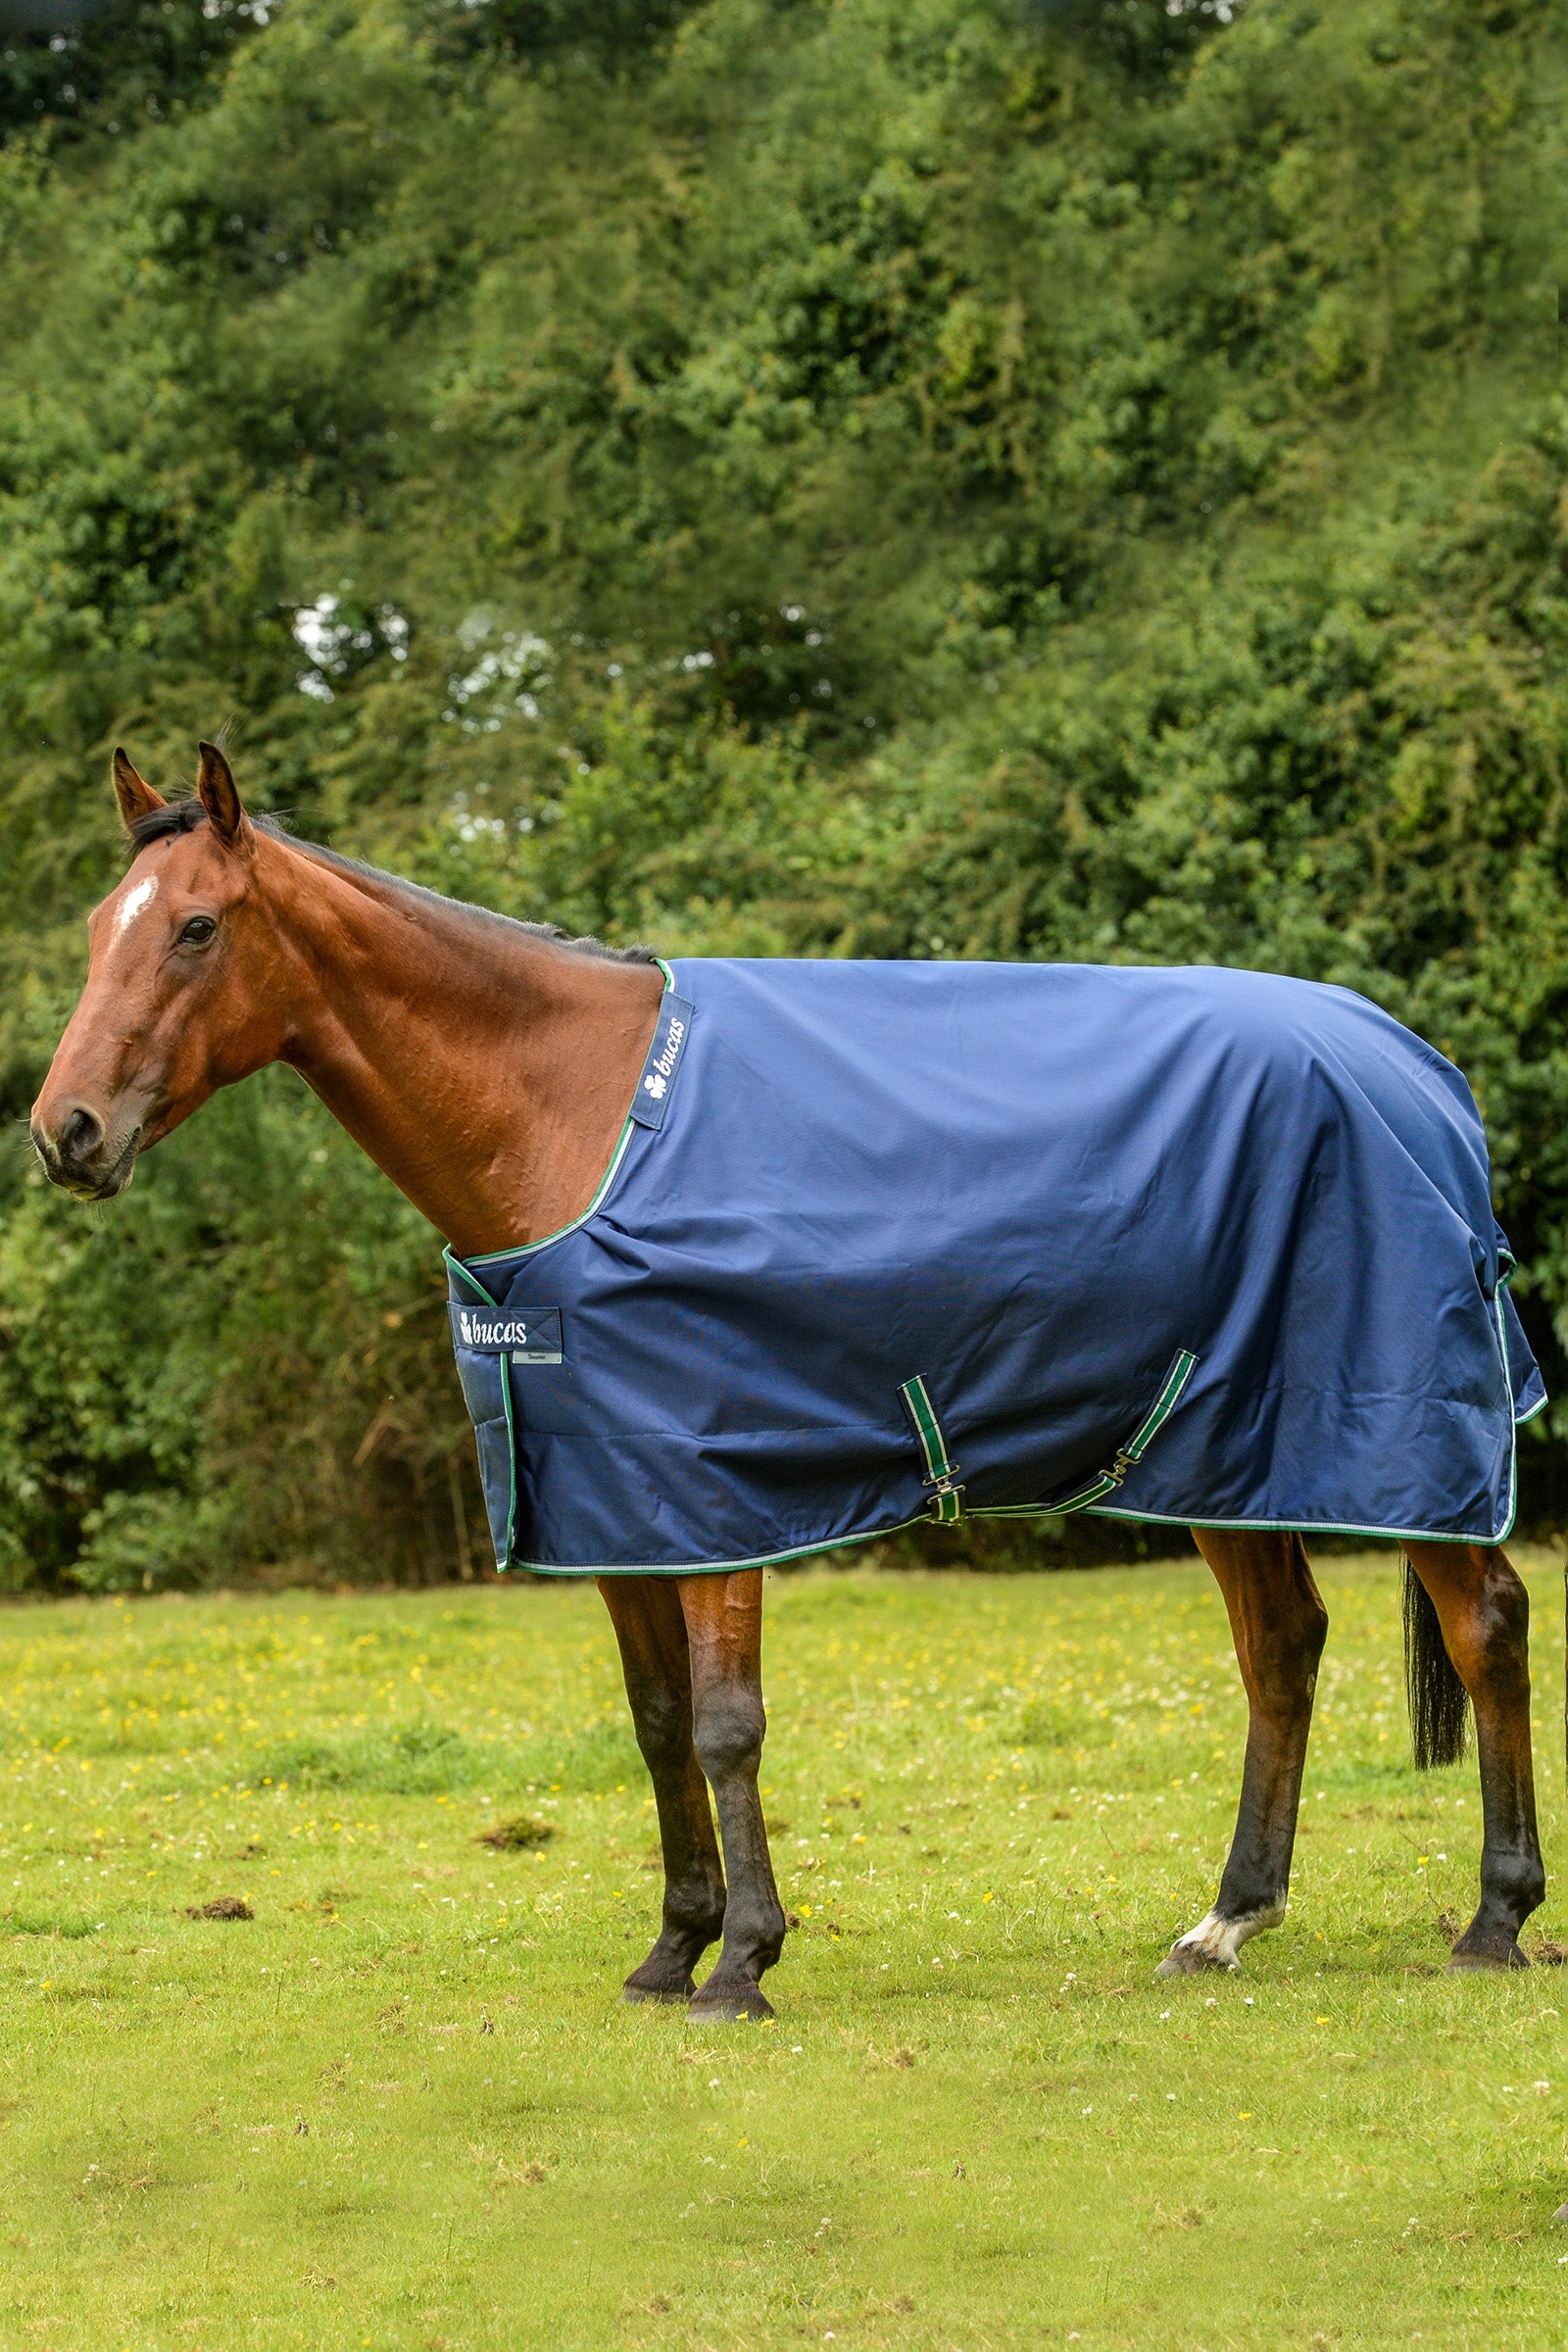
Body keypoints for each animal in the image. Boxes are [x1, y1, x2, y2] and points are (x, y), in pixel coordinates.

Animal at [29, 742, 1546, 2018]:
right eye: (100, 927)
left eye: (197, 927)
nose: (66, 1132)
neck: (577, 1117)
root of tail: (1420, 1070)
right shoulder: (612, 1499)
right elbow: (654, 1728)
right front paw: (672, 1948)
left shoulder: (716, 1487)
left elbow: (725, 1726)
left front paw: (744, 1965)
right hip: (1223, 1447)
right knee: (1281, 1646)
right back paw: (1226, 1922)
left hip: (1393, 1438)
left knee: (1486, 1624)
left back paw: (1494, 1919)